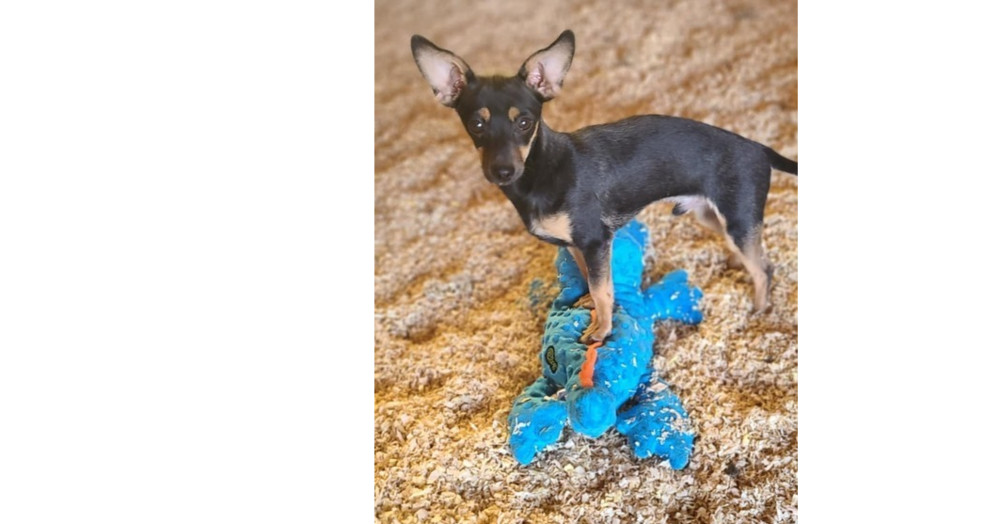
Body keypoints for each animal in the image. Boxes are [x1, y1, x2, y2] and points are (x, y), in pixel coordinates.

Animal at [408, 31, 796, 344]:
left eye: (525, 123)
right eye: (476, 124)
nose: (502, 170)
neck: (540, 170)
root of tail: (759, 149)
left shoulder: (596, 241)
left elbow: (602, 290)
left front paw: (603, 330)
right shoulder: (578, 245)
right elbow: (588, 281)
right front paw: (587, 307)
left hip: (738, 218)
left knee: (764, 268)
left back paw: (759, 309)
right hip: (712, 216)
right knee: (755, 255)